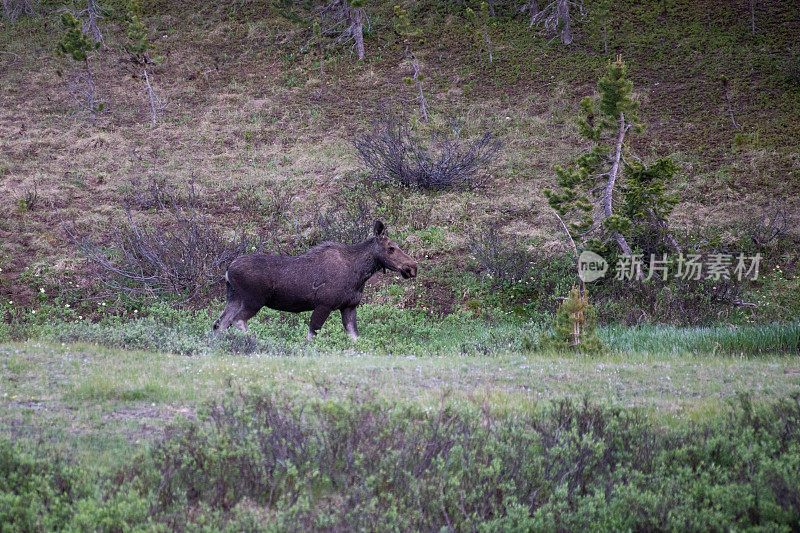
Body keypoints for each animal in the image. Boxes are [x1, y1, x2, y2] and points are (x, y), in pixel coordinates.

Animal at [212, 220, 418, 340]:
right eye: (391, 248)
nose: (412, 267)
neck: (360, 274)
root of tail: (228, 271)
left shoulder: (349, 306)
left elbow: (355, 337)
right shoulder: (324, 304)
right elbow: (312, 334)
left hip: (234, 298)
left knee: (220, 323)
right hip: (254, 299)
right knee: (237, 321)